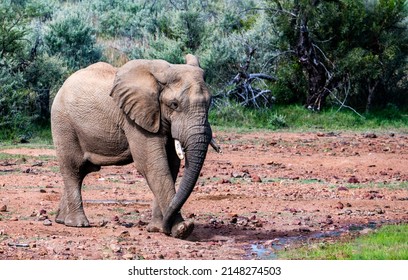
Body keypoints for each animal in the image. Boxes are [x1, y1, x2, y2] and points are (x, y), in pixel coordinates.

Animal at [52, 54, 222, 238]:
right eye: (174, 104)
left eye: (209, 103)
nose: (168, 226)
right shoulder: (134, 119)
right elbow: (153, 165)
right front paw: (182, 229)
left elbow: (171, 165)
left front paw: (157, 228)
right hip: (63, 123)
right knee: (73, 169)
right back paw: (78, 224)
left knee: (82, 171)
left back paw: (61, 220)